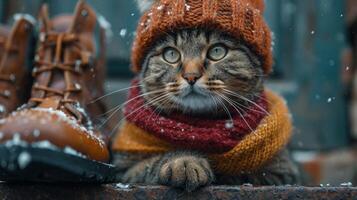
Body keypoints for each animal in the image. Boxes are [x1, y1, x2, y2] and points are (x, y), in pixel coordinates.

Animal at [112, 0, 300, 192]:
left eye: (217, 51)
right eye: (170, 54)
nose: (191, 76)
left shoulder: (282, 172)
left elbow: (243, 173)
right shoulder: (122, 168)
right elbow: (149, 164)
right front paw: (183, 161)